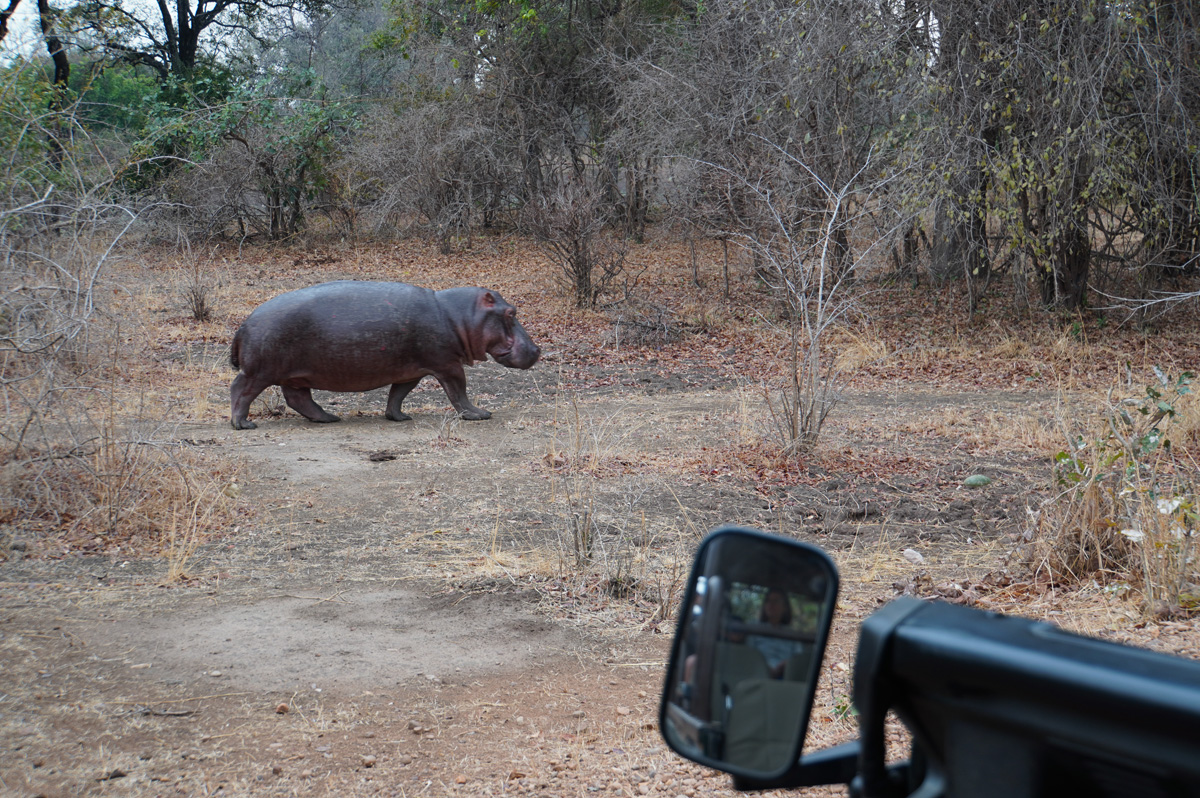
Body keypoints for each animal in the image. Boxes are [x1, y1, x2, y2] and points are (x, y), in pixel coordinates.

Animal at [229, 281, 541, 430]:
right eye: (511, 312)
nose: (537, 349)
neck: (460, 315)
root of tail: (245, 322)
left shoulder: (413, 370)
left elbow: (398, 394)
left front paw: (399, 417)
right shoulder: (448, 365)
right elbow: (459, 392)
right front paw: (480, 414)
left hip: (296, 375)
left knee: (298, 398)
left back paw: (329, 418)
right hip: (260, 371)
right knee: (241, 390)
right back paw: (243, 424)